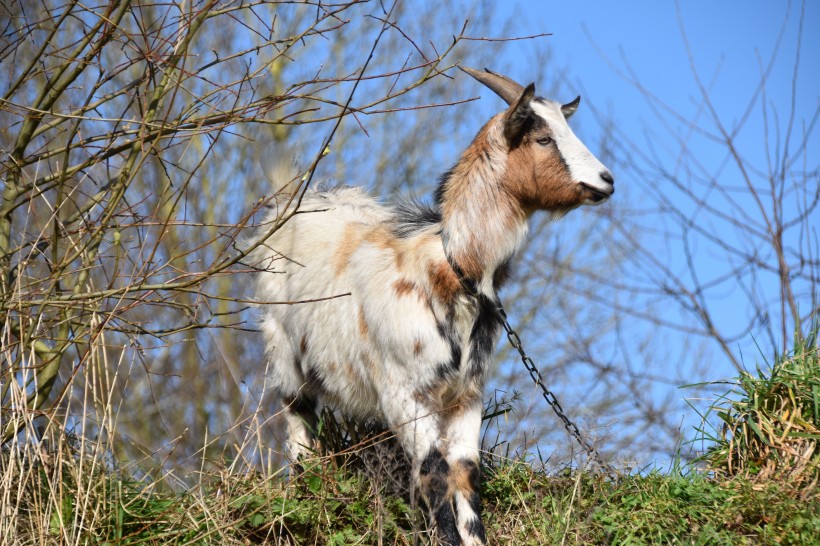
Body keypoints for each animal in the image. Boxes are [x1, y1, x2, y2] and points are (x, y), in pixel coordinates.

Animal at [253, 68, 612, 544]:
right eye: (543, 138)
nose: (606, 180)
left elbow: (465, 472)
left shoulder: (467, 395)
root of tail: (289, 204)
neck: (449, 270)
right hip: (283, 353)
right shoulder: (403, 394)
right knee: (299, 429)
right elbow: (433, 473)